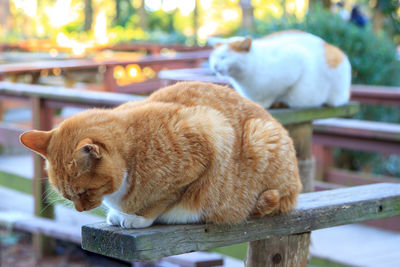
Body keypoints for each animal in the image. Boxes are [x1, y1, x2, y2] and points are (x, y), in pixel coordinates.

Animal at [18, 82, 300, 229]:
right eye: (68, 196)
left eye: (83, 193)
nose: (79, 209)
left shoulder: (208, 135)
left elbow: (164, 199)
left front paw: (138, 218)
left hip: (260, 136)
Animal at [208, 31, 352, 110]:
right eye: (214, 58)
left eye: (224, 57)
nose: (214, 66)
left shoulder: (296, 61)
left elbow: (277, 92)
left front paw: (267, 103)